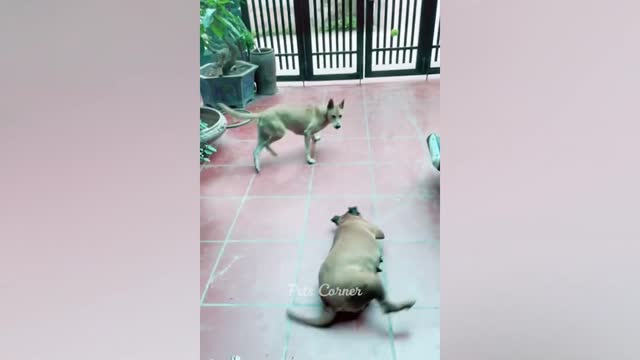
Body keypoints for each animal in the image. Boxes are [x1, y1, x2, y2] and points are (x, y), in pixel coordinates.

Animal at [216, 97, 344, 172]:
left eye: (340, 116)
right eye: (333, 116)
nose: (338, 126)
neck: (324, 113)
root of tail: (262, 113)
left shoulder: (309, 133)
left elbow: (313, 135)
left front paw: (316, 138)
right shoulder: (306, 133)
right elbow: (307, 149)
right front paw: (309, 160)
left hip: (263, 136)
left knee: (256, 150)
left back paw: (257, 165)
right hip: (279, 133)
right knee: (266, 145)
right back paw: (273, 153)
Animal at [284, 207, 416, 328]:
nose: (354, 207)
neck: (346, 220)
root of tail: (329, 305)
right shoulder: (377, 231)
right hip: (372, 282)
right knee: (386, 307)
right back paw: (406, 304)